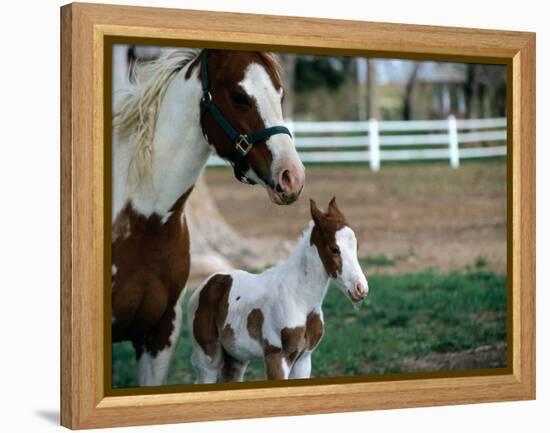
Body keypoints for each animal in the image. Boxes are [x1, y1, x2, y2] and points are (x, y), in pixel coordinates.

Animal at [188, 197, 368, 382]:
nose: (360, 288)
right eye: (334, 249)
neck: (299, 299)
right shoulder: (276, 356)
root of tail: (206, 284)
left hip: (236, 357)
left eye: (357, 247)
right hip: (208, 356)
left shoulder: (304, 359)